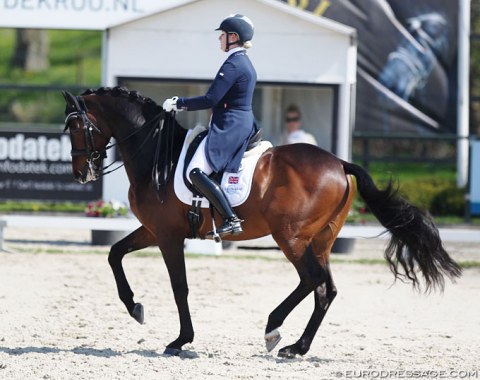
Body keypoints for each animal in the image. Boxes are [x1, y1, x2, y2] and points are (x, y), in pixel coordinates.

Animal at [61, 87, 462, 360]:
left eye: (76, 125)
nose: (80, 173)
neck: (157, 154)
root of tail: (340, 163)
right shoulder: (153, 230)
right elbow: (114, 253)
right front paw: (135, 307)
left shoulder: (169, 236)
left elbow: (179, 287)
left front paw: (180, 340)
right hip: (320, 240)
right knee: (325, 289)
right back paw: (298, 346)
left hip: (291, 238)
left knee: (312, 280)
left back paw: (274, 330)